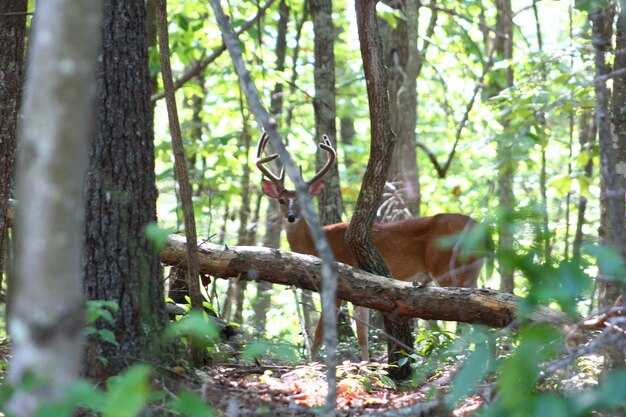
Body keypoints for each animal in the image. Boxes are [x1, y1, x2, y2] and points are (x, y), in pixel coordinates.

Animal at [256, 132, 486, 360]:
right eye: (281, 200)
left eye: (304, 201)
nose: (291, 217)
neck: (316, 243)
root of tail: (480, 229)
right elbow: (362, 335)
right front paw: (367, 365)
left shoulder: (339, 284)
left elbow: (324, 334)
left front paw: (312, 363)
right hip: (471, 273)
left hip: (447, 268)